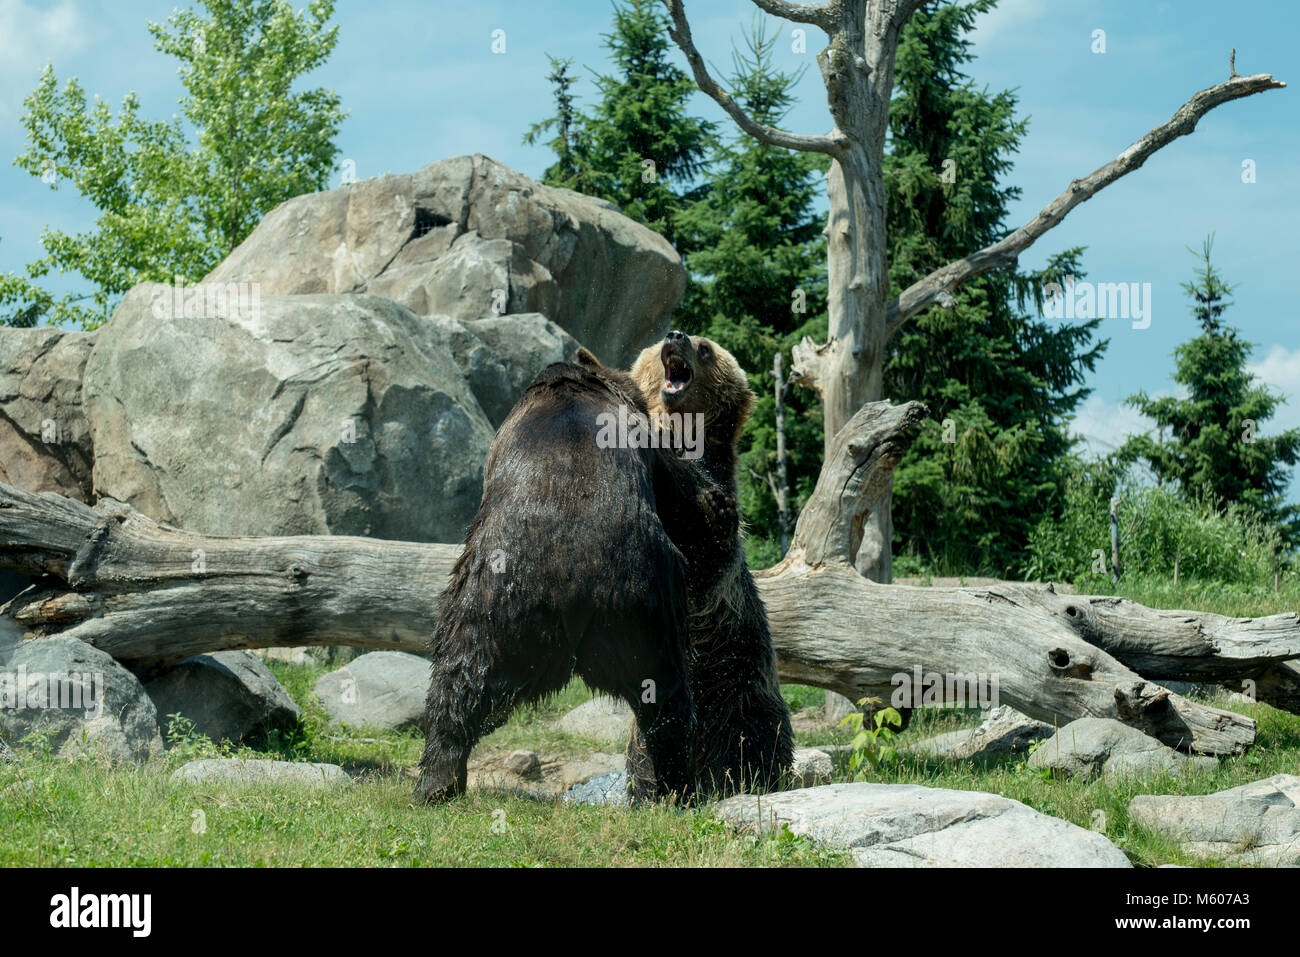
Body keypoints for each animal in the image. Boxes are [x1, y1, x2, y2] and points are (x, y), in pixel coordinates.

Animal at [418, 348, 743, 806]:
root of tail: (569, 583)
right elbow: (680, 488)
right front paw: (718, 508)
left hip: (494, 605)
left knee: (460, 671)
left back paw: (437, 779)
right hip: (642, 610)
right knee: (666, 692)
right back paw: (676, 785)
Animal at [626, 328, 795, 800]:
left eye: (705, 348)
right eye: (657, 346)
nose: (676, 334)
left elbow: (713, 558)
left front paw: (716, 514)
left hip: (745, 688)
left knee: (762, 739)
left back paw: (758, 778)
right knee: (646, 755)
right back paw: (654, 792)